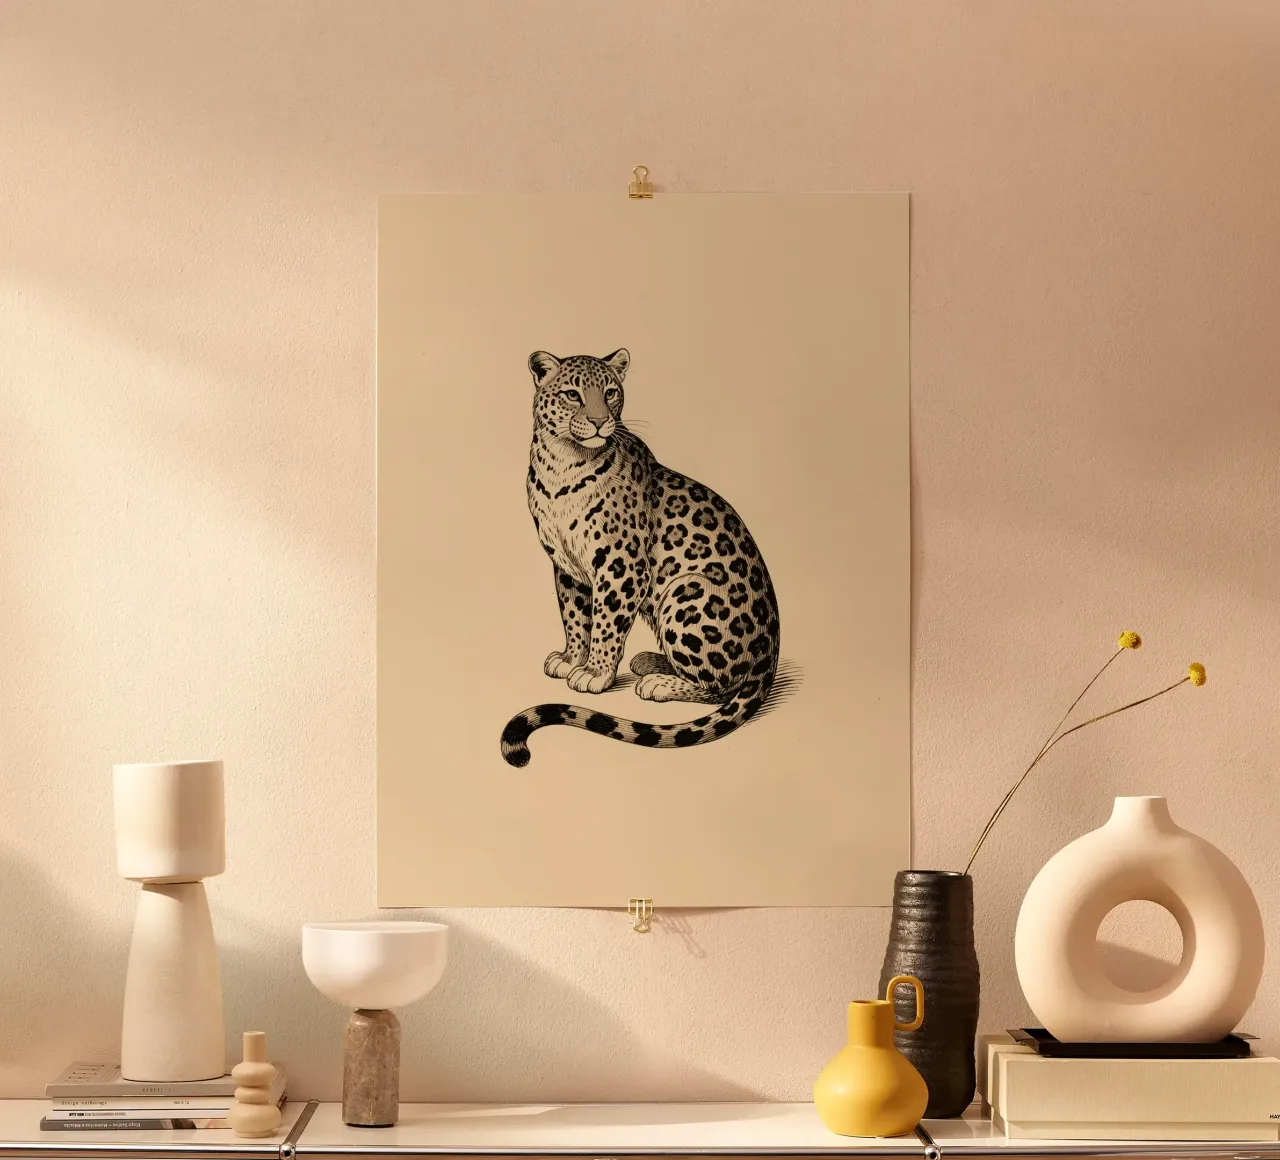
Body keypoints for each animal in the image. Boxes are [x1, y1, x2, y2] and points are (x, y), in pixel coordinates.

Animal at [500, 348, 781, 768]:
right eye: (572, 394)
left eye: (611, 392)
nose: (600, 422)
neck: (561, 464)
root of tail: (770, 656)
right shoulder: (566, 567)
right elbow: (575, 618)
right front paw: (571, 658)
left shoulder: (622, 566)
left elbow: (606, 623)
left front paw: (595, 673)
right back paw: (650, 660)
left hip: (687, 593)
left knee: (719, 686)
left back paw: (658, 682)